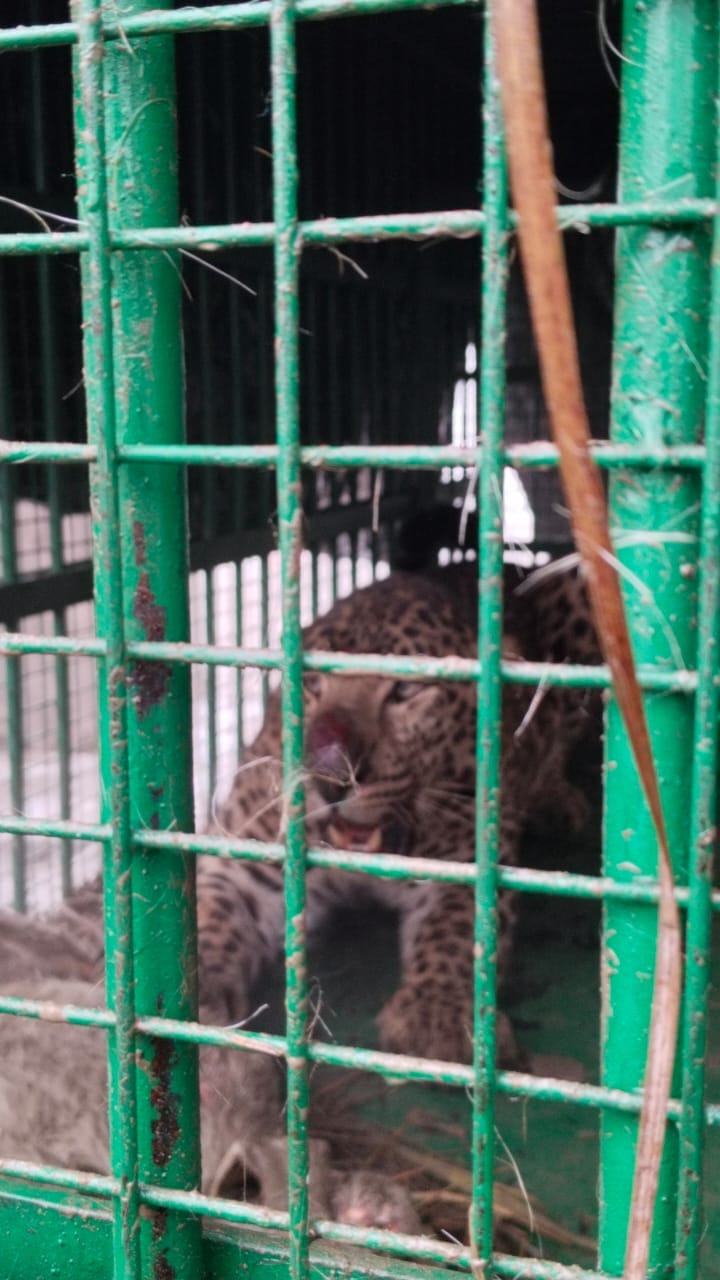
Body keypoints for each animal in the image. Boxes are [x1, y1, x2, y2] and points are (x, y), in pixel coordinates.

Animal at [197, 554, 602, 1068]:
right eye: (311, 683)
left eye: (406, 691)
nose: (329, 776)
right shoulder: (244, 862)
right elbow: (207, 914)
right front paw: (191, 989)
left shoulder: (467, 866)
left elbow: (456, 935)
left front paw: (437, 1014)